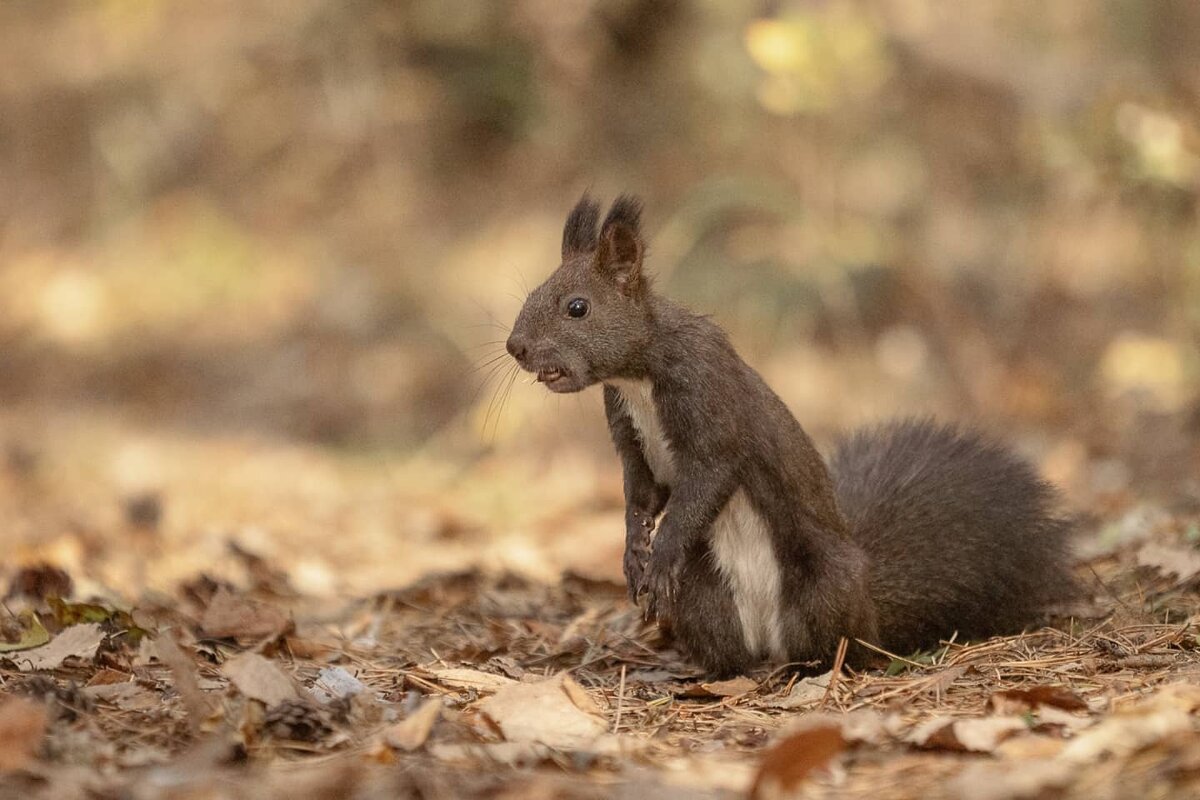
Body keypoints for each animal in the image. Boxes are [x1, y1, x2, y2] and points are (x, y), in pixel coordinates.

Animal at [506, 194, 1080, 676]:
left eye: (577, 307)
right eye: (532, 294)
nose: (516, 347)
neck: (639, 375)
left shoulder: (710, 402)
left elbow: (706, 480)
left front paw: (661, 555)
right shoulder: (630, 435)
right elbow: (641, 495)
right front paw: (633, 555)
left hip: (825, 586)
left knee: (837, 649)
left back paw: (813, 668)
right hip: (706, 598)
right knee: (732, 652)